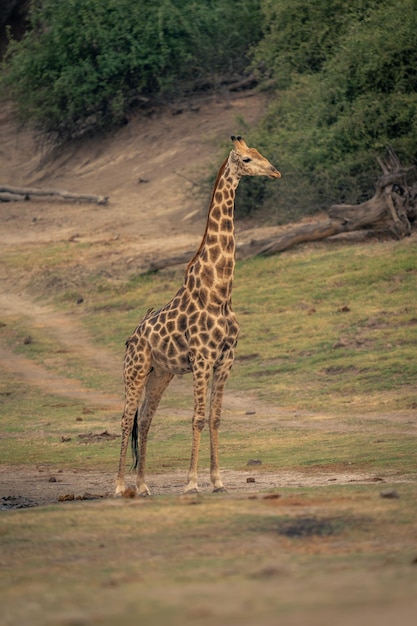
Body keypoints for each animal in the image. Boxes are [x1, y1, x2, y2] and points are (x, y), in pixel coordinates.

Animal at [115, 135, 282, 492]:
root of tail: (131, 337)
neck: (219, 292)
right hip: (135, 370)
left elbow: (215, 418)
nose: (275, 172)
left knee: (145, 419)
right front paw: (191, 483)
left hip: (160, 373)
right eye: (247, 159)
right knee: (125, 419)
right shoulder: (203, 359)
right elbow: (198, 418)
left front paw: (218, 481)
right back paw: (120, 486)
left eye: (259, 153)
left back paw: (143, 486)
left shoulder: (226, 359)